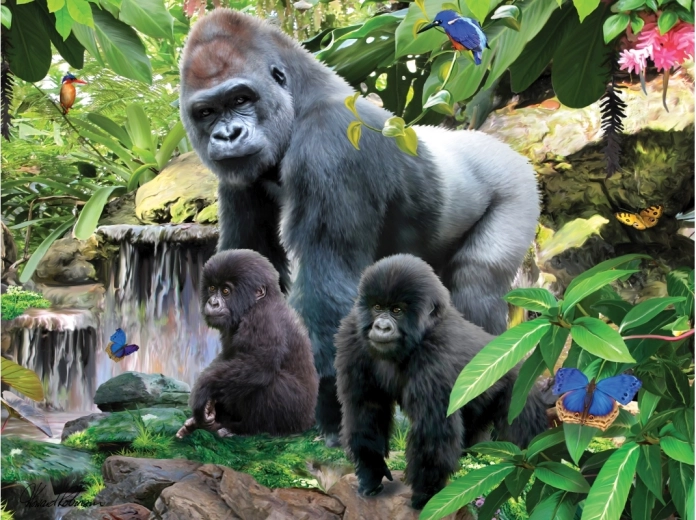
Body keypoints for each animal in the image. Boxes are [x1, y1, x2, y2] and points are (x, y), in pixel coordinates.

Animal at [177, 249, 318, 438]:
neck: (257, 303)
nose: (213, 302)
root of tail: (309, 421)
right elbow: (227, 357)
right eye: (212, 288)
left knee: (264, 382)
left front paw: (201, 394)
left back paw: (241, 428)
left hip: (294, 415)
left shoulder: (263, 319)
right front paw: (208, 407)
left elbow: (256, 366)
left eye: (226, 291)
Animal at [334, 254, 549, 510]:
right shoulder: (352, 336)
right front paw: (371, 472)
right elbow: (366, 409)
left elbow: (432, 431)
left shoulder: (436, 356)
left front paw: (425, 496)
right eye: (377, 307)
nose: (382, 326)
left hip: (520, 387)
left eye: (396, 310)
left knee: (525, 439)